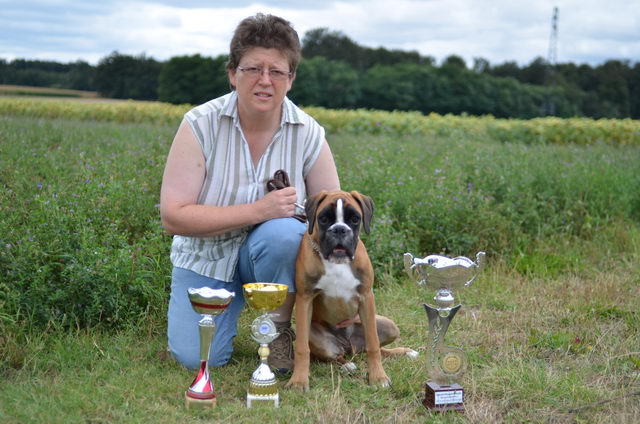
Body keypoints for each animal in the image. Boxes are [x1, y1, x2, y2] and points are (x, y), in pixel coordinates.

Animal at [285, 190, 417, 391]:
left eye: (355, 219)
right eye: (324, 218)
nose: (340, 229)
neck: (336, 262)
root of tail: (349, 346)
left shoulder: (366, 297)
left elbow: (373, 344)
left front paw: (378, 377)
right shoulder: (304, 299)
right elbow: (301, 348)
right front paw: (299, 381)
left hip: (389, 326)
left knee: (375, 348)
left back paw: (404, 352)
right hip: (317, 337)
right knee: (334, 356)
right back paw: (347, 365)